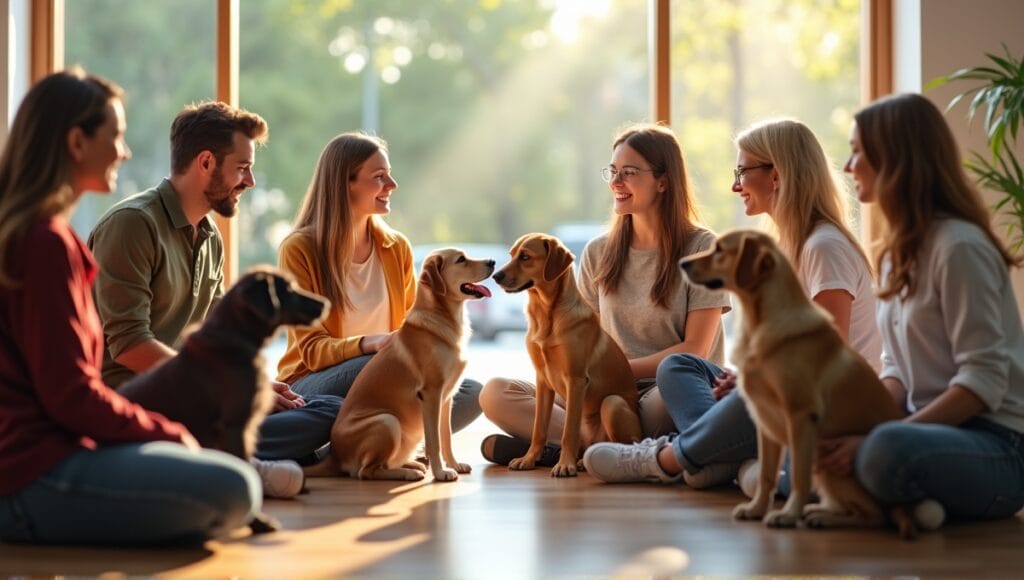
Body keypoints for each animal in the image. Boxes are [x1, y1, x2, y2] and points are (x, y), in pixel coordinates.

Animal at [307, 249, 491, 481]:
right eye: (461, 260)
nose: (492, 262)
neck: (442, 317)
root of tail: (335, 455)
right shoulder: (431, 394)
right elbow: (434, 441)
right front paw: (440, 473)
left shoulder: (447, 397)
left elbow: (446, 437)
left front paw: (454, 465)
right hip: (387, 421)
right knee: (366, 472)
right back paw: (408, 473)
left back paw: (412, 464)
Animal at [489, 234, 638, 479]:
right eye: (511, 255)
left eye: (525, 257)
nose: (496, 276)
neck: (546, 314)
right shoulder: (542, 381)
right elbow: (538, 428)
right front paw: (529, 459)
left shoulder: (576, 380)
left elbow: (569, 432)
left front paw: (564, 465)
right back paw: (581, 461)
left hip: (613, 404)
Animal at [679, 230, 921, 536]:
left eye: (720, 249)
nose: (682, 263)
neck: (759, 321)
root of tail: (905, 507)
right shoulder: (764, 421)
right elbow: (767, 475)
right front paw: (757, 509)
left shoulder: (801, 417)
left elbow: (798, 478)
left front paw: (787, 514)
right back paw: (818, 511)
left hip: (828, 462)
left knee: (875, 515)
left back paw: (822, 517)